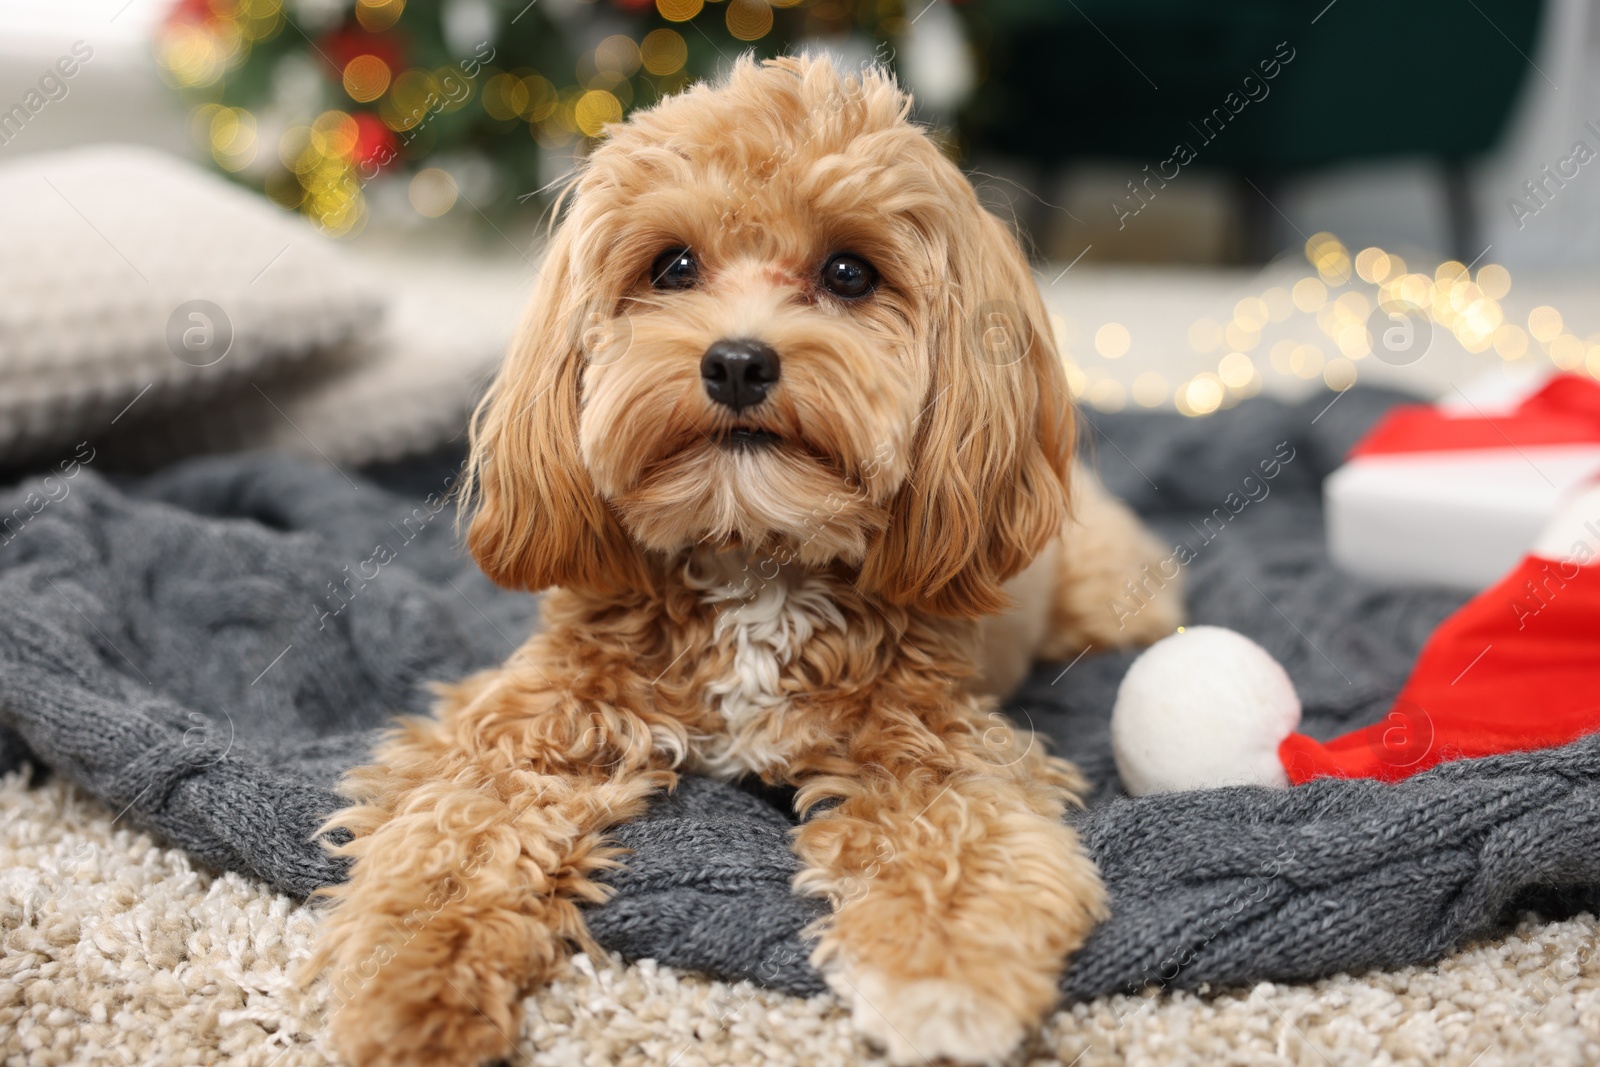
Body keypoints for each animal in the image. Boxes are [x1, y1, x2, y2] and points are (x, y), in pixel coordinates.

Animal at [308, 51, 1177, 1067]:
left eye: (849, 272)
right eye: (674, 265)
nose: (736, 362)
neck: (755, 557)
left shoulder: (934, 740)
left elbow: (960, 840)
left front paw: (945, 976)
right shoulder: (530, 721)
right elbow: (454, 832)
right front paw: (408, 985)